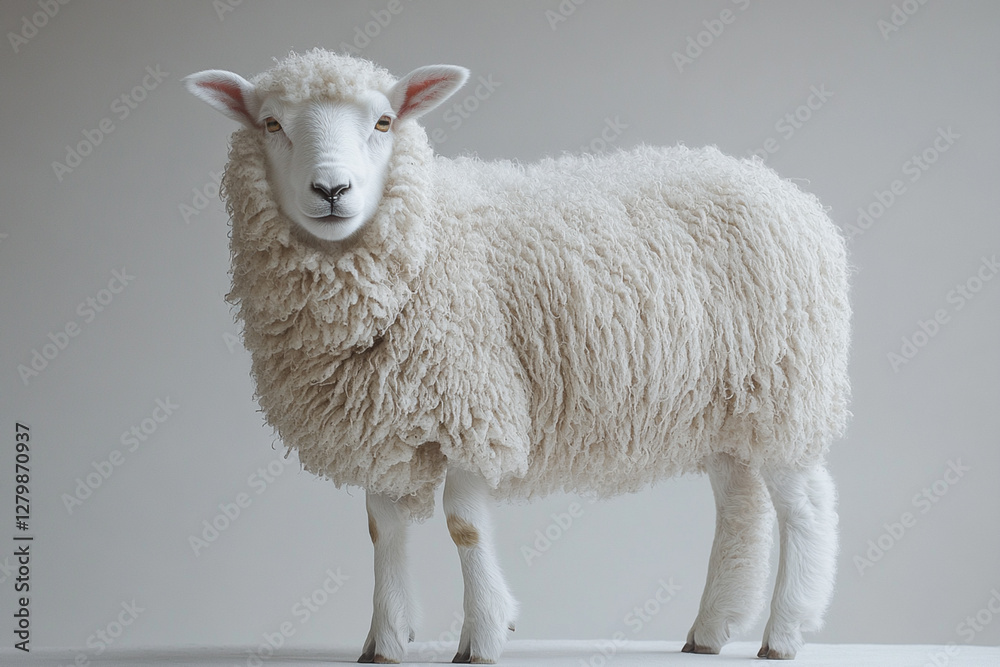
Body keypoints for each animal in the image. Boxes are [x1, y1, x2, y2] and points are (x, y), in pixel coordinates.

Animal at [184, 49, 851, 664]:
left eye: (383, 121)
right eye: (271, 123)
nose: (331, 190)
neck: (424, 240)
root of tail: (787, 193)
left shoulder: (471, 405)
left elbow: (464, 526)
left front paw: (482, 637)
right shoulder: (382, 418)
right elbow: (382, 529)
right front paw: (385, 641)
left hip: (787, 389)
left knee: (806, 507)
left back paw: (783, 634)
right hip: (723, 404)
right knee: (740, 506)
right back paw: (710, 631)